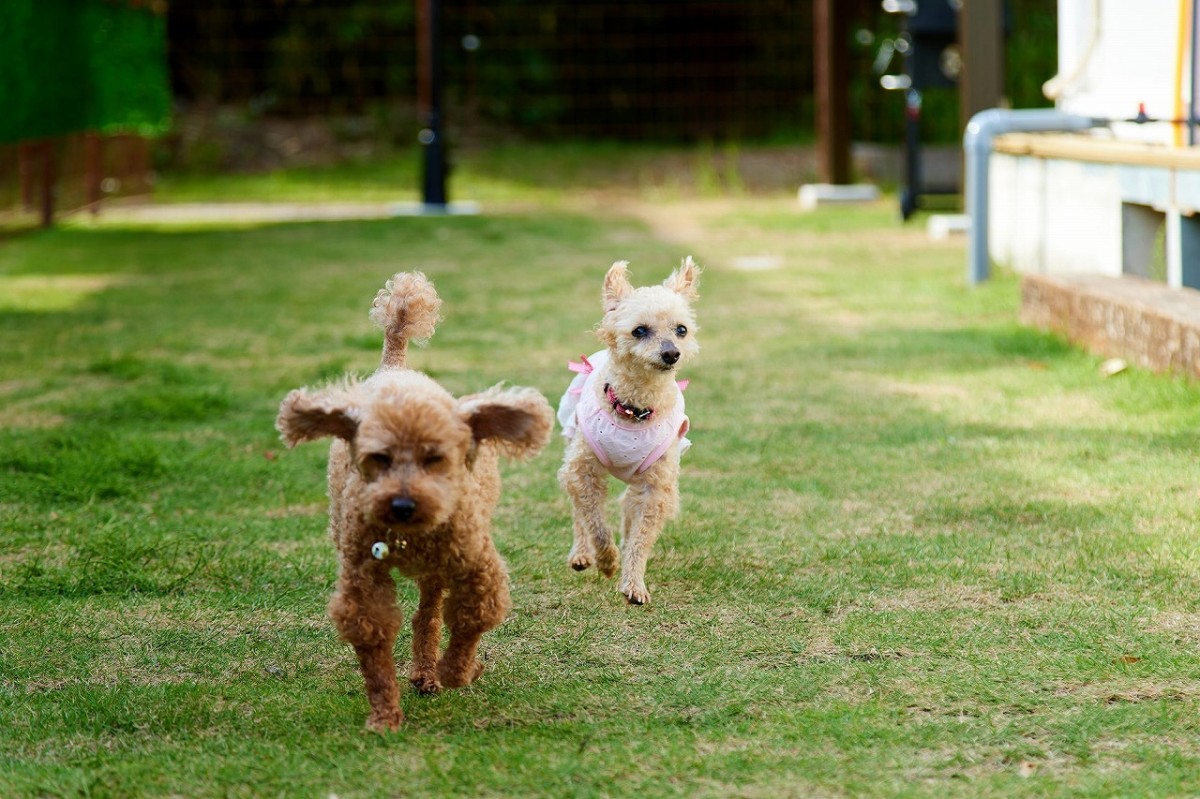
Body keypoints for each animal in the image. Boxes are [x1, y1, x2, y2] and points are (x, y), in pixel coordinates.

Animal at [556, 257, 700, 599]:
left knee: (626, 508)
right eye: (639, 331)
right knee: (579, 513)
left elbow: (641, 538)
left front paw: (633, 582)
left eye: (682, 329)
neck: (635, 408)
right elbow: (595, 522)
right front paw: (607, 561)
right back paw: (582, 554)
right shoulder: (583, 471)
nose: (671, 352)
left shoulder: (656, 488)